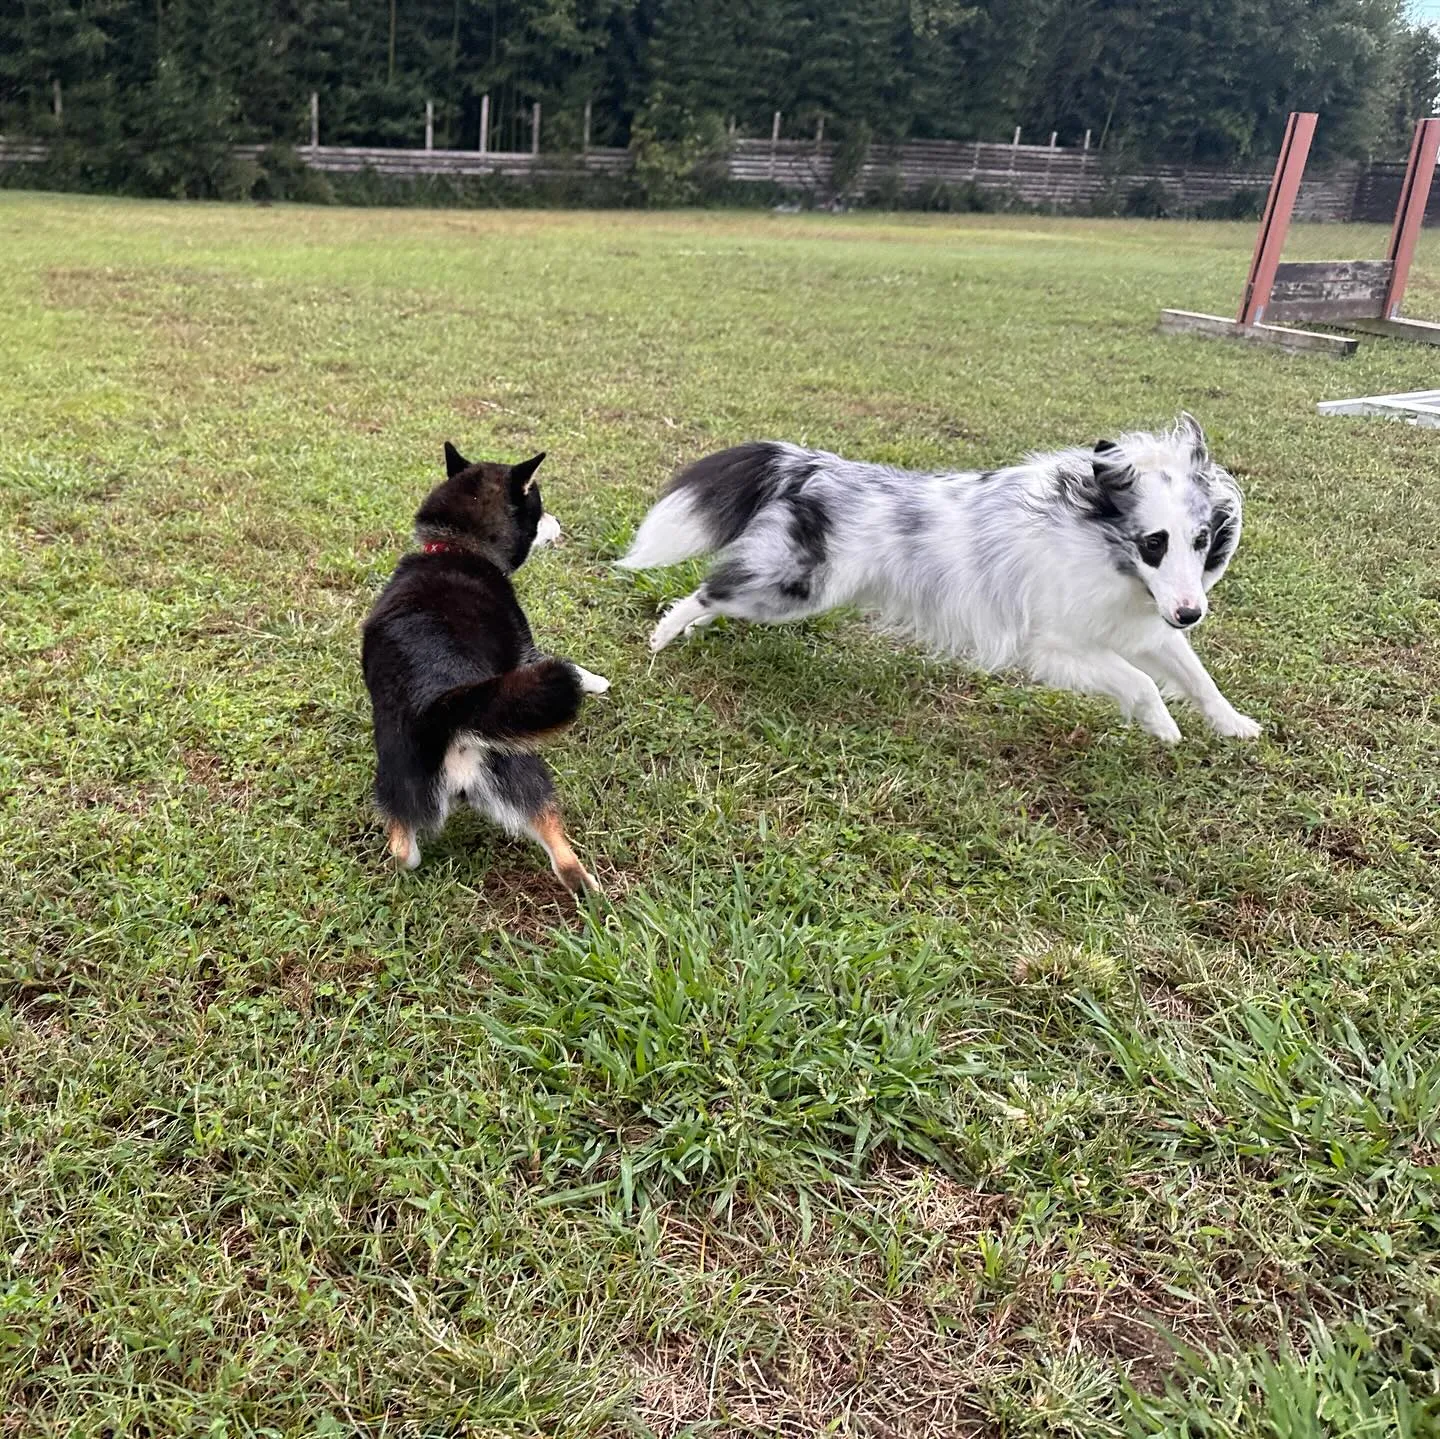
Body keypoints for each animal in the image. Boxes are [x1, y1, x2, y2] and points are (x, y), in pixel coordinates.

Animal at [365, 443, 607, 893]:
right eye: (540, 507)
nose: (560, 523)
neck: (458, 548)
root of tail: (441, 710)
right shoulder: (527, 654)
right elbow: (569, 665)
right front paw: (596, 681)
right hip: (520, 770)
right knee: (563, 858)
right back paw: (592, 890)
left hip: (397, 784)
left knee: (404, 852)